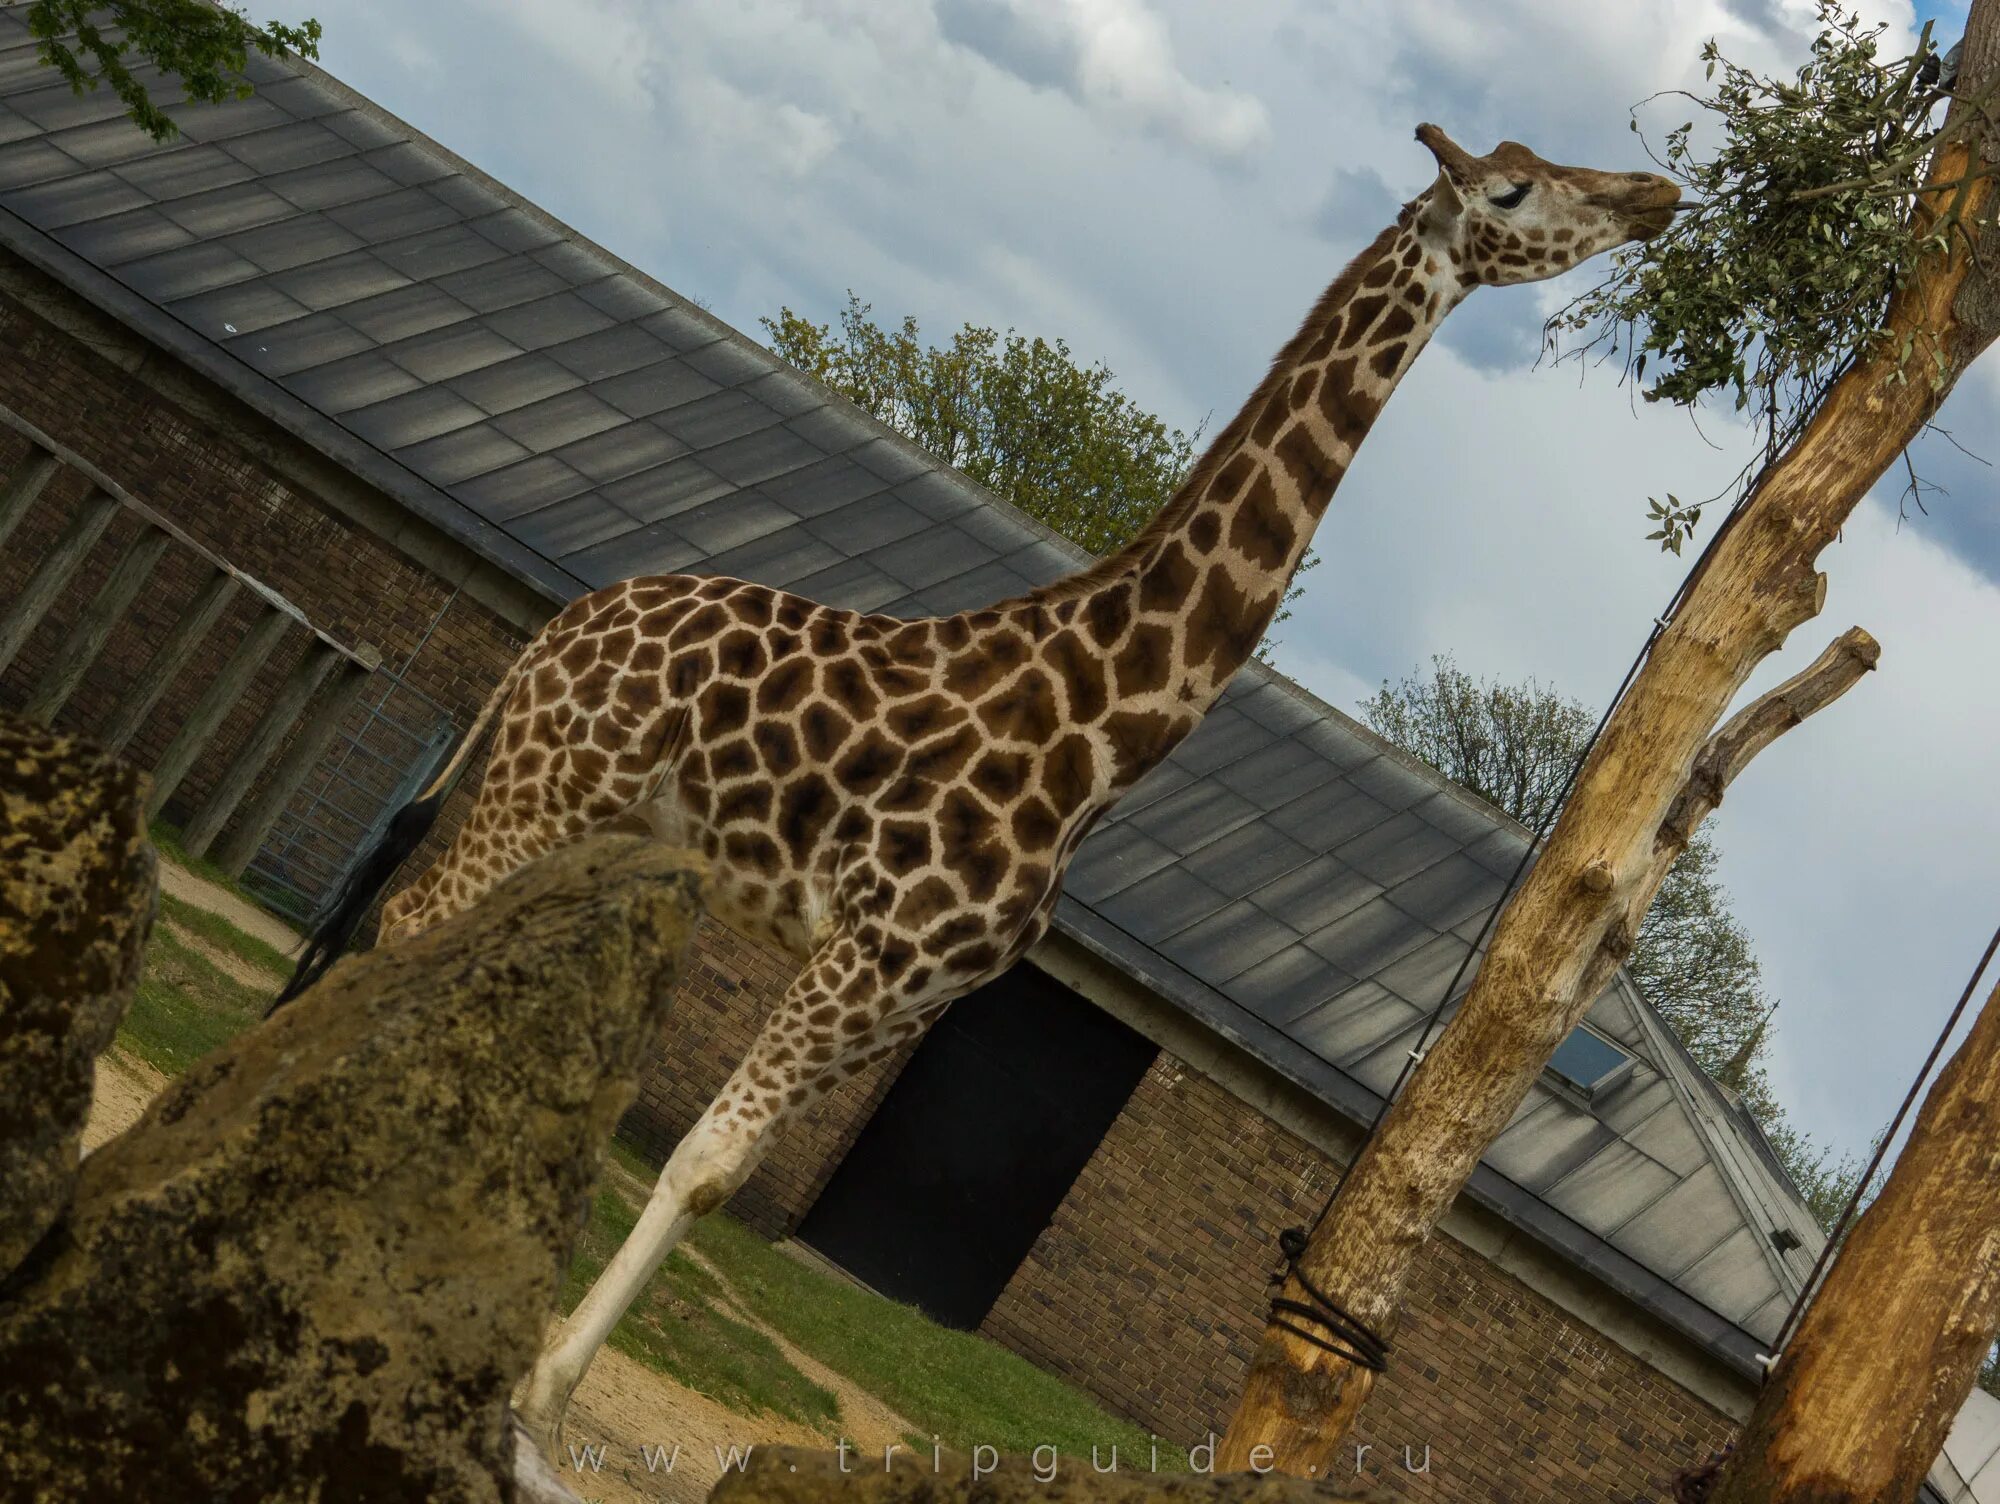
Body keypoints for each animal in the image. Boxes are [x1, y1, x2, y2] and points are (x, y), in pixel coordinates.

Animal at [278, 126, 1672, 1448]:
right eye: (1510, 188)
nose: (1652, 195)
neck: (1100, 728)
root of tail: (562, 622)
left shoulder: (914, 991)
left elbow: (726, 1173)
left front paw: (539, 1391)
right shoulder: (870, 954)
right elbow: (702, 1160)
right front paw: (543, 1389)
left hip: (587, 817)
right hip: (543, 789)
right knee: (404, 925)